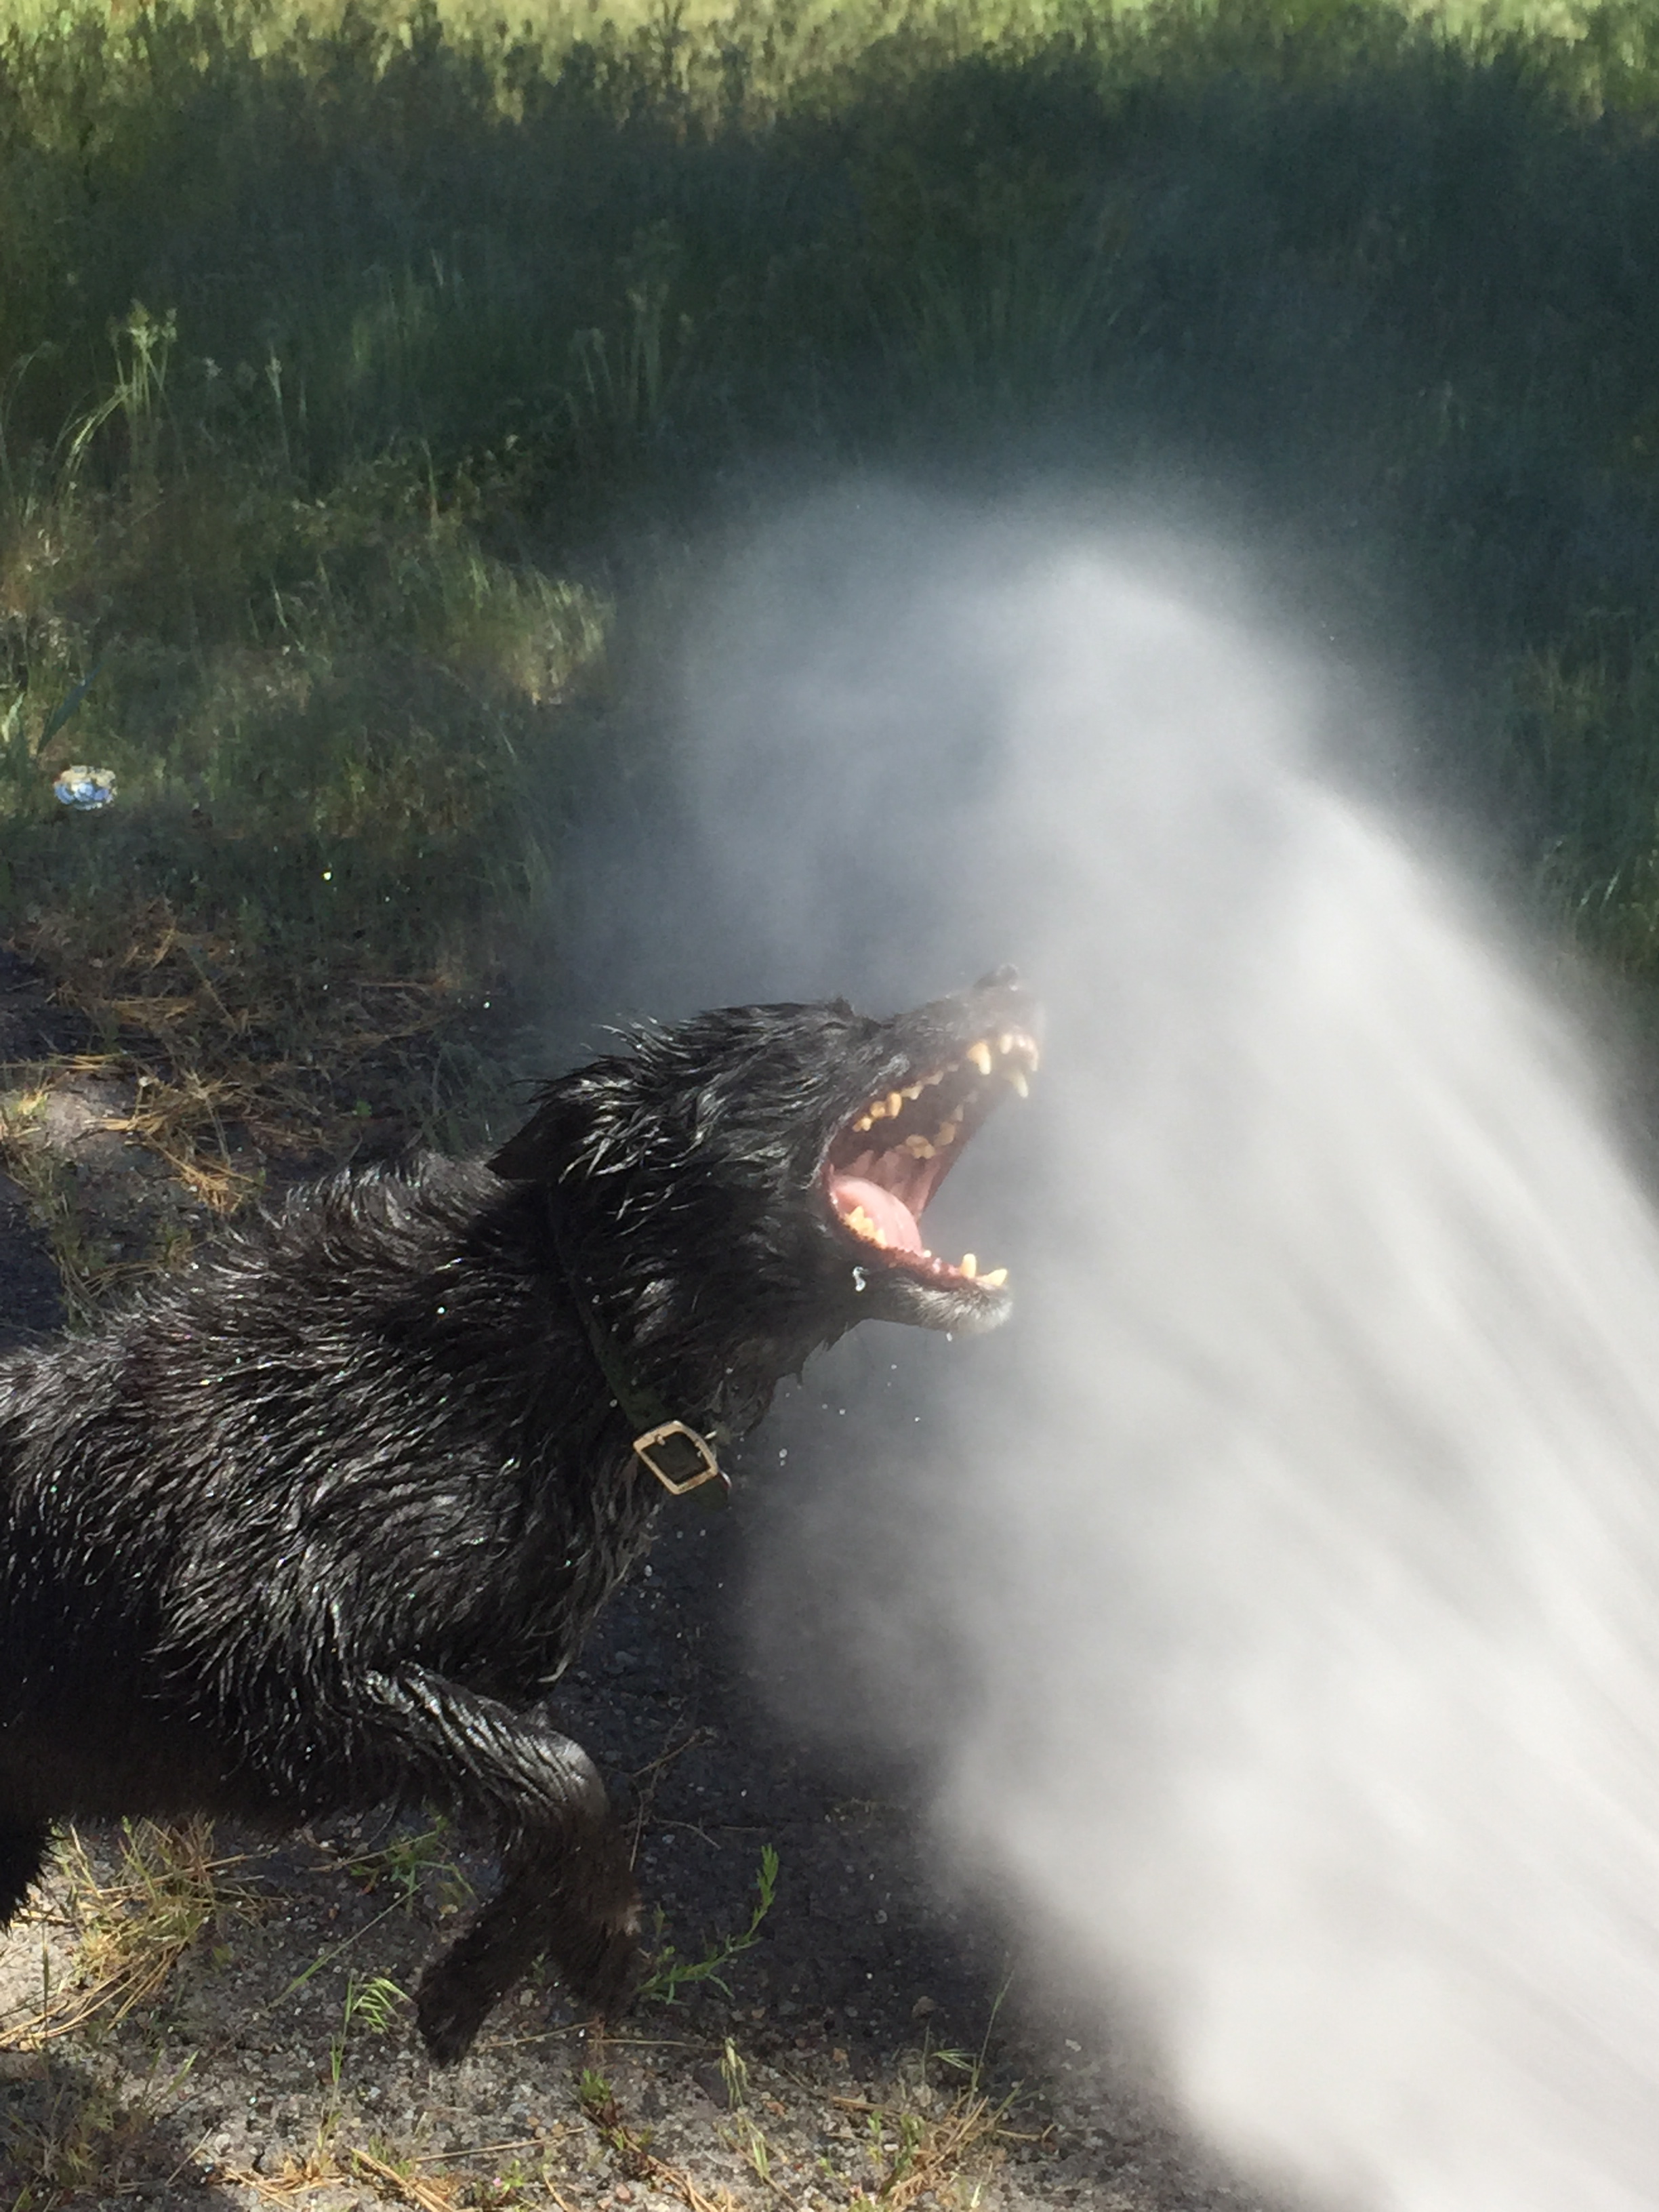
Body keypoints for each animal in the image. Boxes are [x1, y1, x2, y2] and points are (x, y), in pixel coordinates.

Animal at [0, 969, 1037, 2060]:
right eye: (839, 1031)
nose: (1010, 979)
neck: (566, 1320)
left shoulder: (495, 1672)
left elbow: (543, 1793)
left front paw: (521, 1962)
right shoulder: (249, 1658)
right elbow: (567, 1778)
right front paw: (563, 1956)